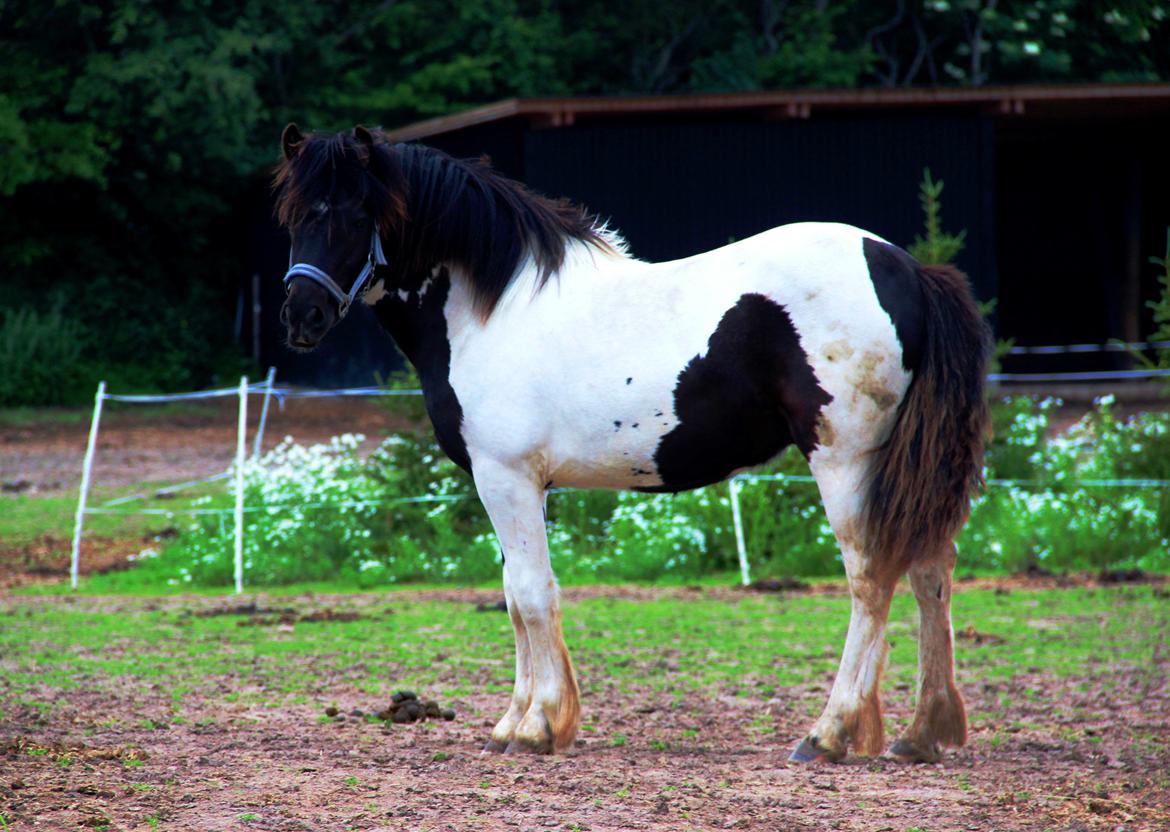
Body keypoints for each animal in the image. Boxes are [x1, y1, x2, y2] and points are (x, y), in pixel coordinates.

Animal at [278, 120, 992, 762]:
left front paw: (539, 727)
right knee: (930, 571)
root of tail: (908, 269)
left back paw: (831, 734)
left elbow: (533, 594)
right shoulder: (513, 484)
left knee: (871, 578)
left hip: (846, 461)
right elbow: (514, 596)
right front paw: (514, 723)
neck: (492, 311)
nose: (301, 316)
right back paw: (921, 734)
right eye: (292, 216)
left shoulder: (505, 477)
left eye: (355, 214)